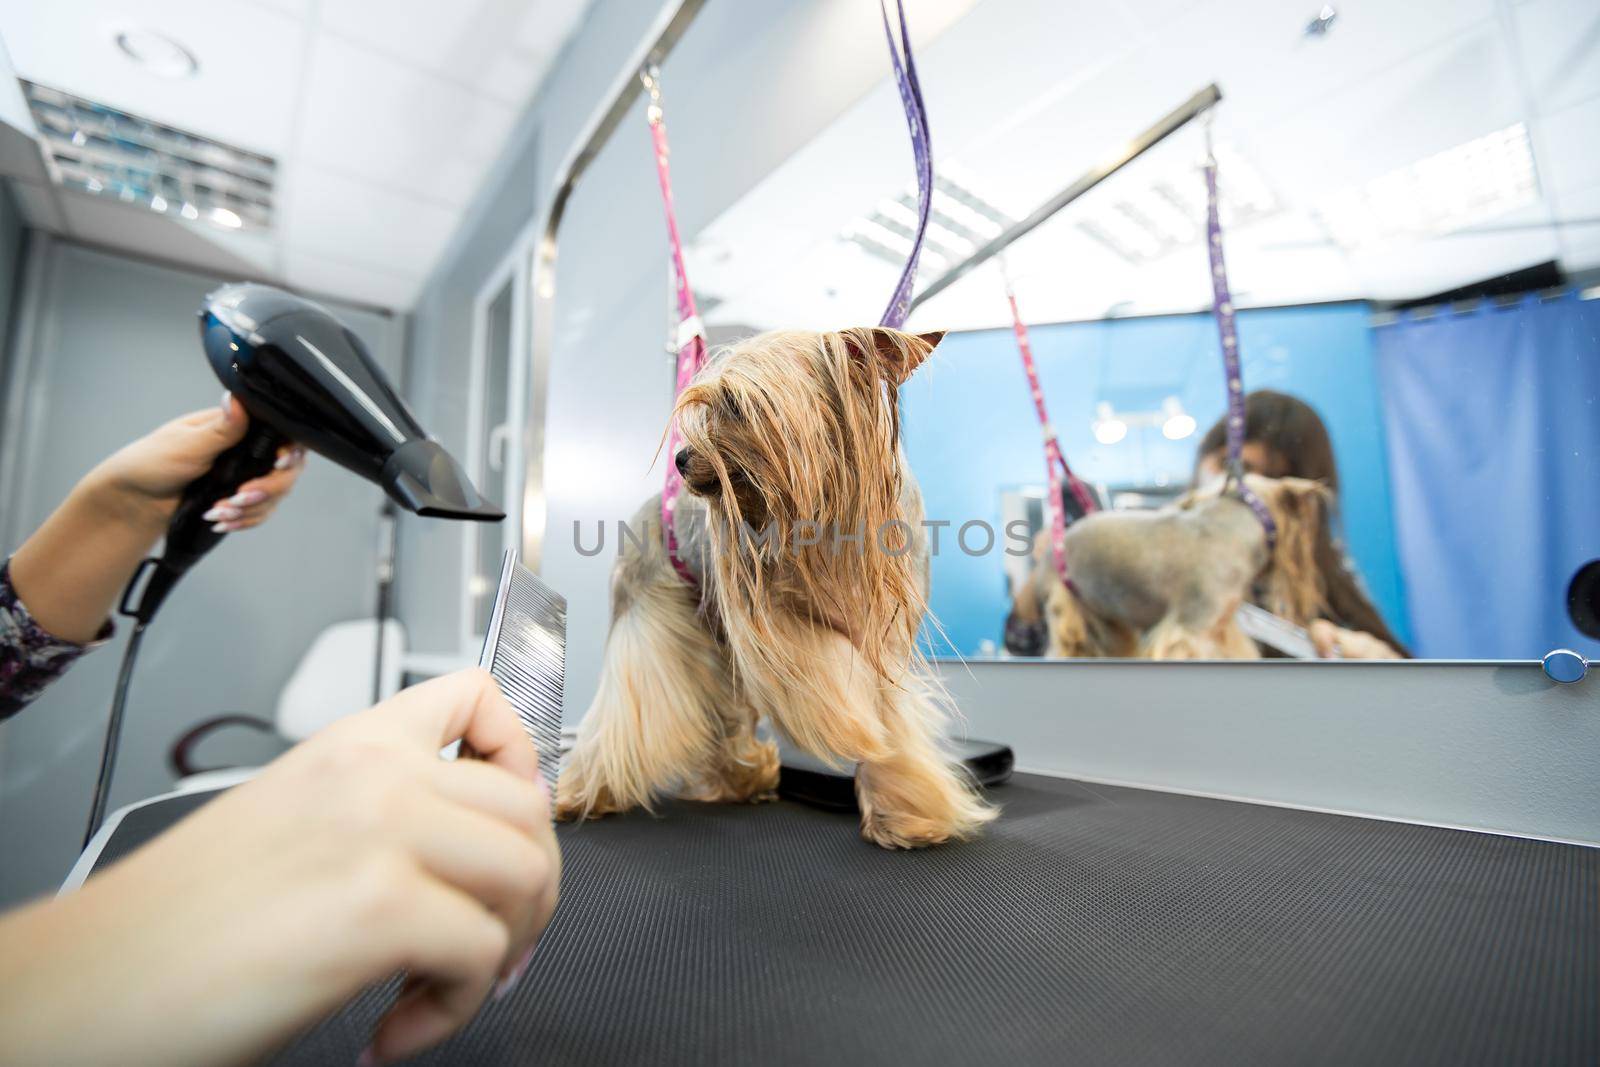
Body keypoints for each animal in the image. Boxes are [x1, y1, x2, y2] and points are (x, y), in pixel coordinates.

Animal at [556, 327, 992, 851]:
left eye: (737, 405)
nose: (681, 458)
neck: (827, 515)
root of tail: (653, 506)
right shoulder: (776, 624)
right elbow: (834, 678)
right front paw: (856, 727)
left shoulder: (887, 637)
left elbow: (891, 713)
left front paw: (905, 813)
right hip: (651, 613)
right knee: (632, 704)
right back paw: (582, 794)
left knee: (723, 712)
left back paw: (742, 780)